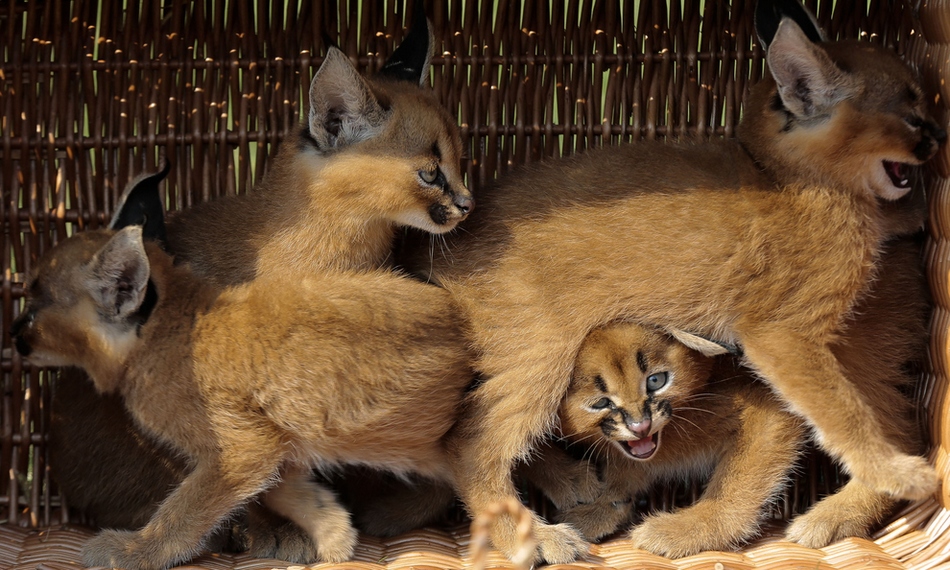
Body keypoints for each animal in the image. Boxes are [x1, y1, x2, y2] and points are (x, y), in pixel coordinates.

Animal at [9, 223, 474, 568]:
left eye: (34, 308)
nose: (12, 331)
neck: (168, 323)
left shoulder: (238, 448)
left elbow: (184, 510)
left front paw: (133, 552)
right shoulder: (272, 441)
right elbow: (278, 487)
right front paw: (332, 530)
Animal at [524, 320, 808, 556]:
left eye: (656, 380)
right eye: (601, 403)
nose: (640, 426)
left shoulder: (765, 406)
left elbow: (736, 482)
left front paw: (691, 528)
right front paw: (596, 507)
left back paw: (813, 526)